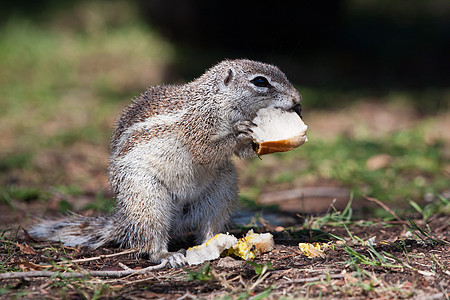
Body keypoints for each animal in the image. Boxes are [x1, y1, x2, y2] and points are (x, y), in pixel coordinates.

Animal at [29, 59, 302, 268]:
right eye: (260, 82)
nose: (298, 100)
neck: (216, 99)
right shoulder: (198, 125)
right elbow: (205, 150)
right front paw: (241, 132)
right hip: (146, 198)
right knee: (152, 239)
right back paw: (168, 255)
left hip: (222, 191)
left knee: (208, 224)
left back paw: (216, 243)